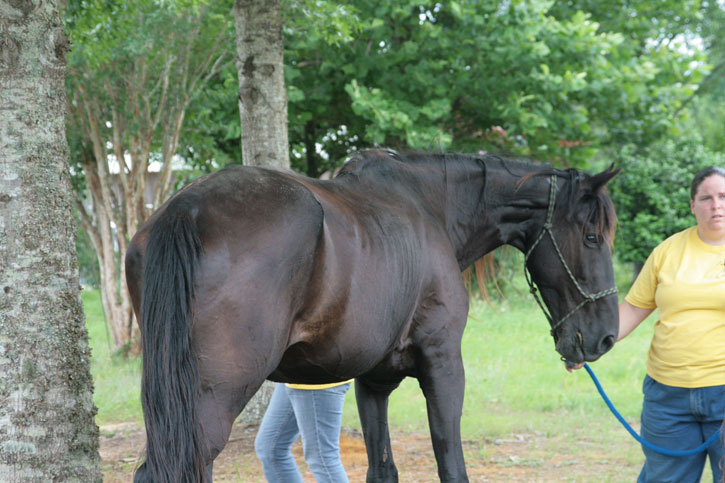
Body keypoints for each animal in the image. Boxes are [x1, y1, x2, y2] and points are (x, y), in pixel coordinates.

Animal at [125, 149, 620, 482]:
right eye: (592, 236)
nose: (605, 338)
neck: (430, 208)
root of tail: (186, 208)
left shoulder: (372, 382)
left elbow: (382, 469)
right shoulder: (444, 366)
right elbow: (450, 465)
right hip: (210, 401)